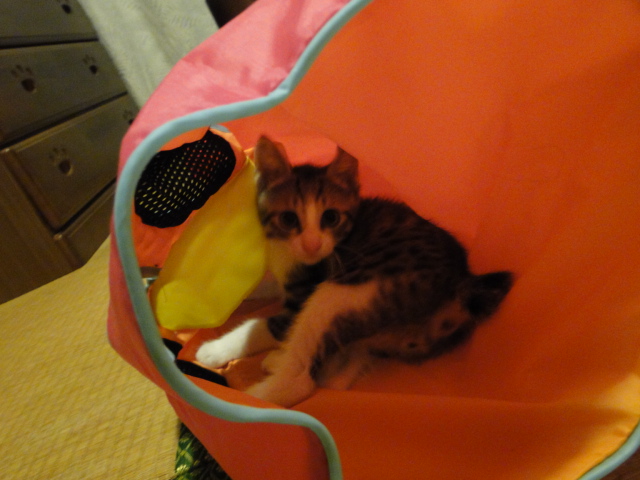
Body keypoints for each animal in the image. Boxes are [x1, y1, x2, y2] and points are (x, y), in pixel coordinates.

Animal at [196, 136, 513, 407]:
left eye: (330, 217)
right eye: (288, 218)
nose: (312, 244)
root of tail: (461, 283)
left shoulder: (305, 292)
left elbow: (261, 326)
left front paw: (214, 350)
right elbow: (270, 285)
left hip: (344, 290)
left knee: (303, 378)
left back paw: (250, 399)